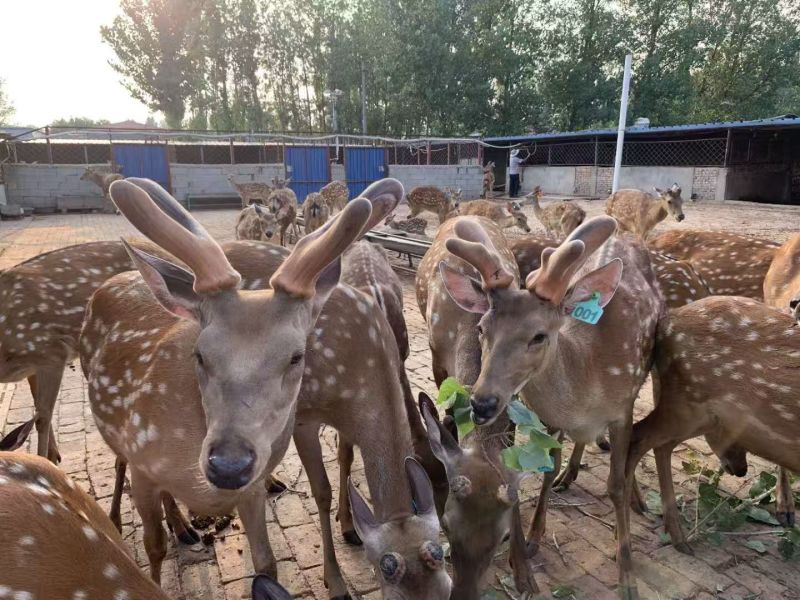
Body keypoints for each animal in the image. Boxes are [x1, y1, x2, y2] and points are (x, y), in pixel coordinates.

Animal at [79, 177, 374, 591]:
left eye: (297, 356)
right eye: (200, 354)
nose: (228, 466)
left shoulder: (253, 487)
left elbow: (266, 562)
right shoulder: (143, 466)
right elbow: (153, 547)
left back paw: (184, 527)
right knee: (119, 462)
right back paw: (129, 520)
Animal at [415, 215, 538, 599]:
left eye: (503, 536)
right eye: (445, 524)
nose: (464, 593)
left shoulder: (510, 397)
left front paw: (524, 573)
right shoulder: (438, 360)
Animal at [440, 216, 664, 598]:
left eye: (539, 335)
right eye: (482, 327)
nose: (482, 402)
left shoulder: (622, 409)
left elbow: (615, 484)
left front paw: (627, 576)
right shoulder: (547, 419)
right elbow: (545, 468)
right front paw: (532, 539)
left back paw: (636, 501)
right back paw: (568, 475)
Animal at [625, 297, 800, 558]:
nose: (741, 470)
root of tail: (667, 319)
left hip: (701, 415)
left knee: (654, 442)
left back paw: (671, 530)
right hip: (689, 402)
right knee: (638, 436)